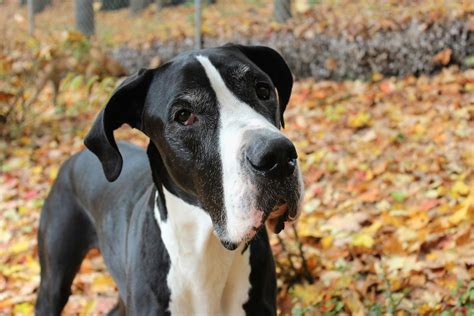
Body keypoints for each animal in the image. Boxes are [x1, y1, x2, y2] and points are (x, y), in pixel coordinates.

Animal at [36, 44, 304, 316]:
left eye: (263, 90)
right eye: (184, 115)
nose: (278, 156)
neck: (205, 249)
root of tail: (73, 158)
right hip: (53, 282)